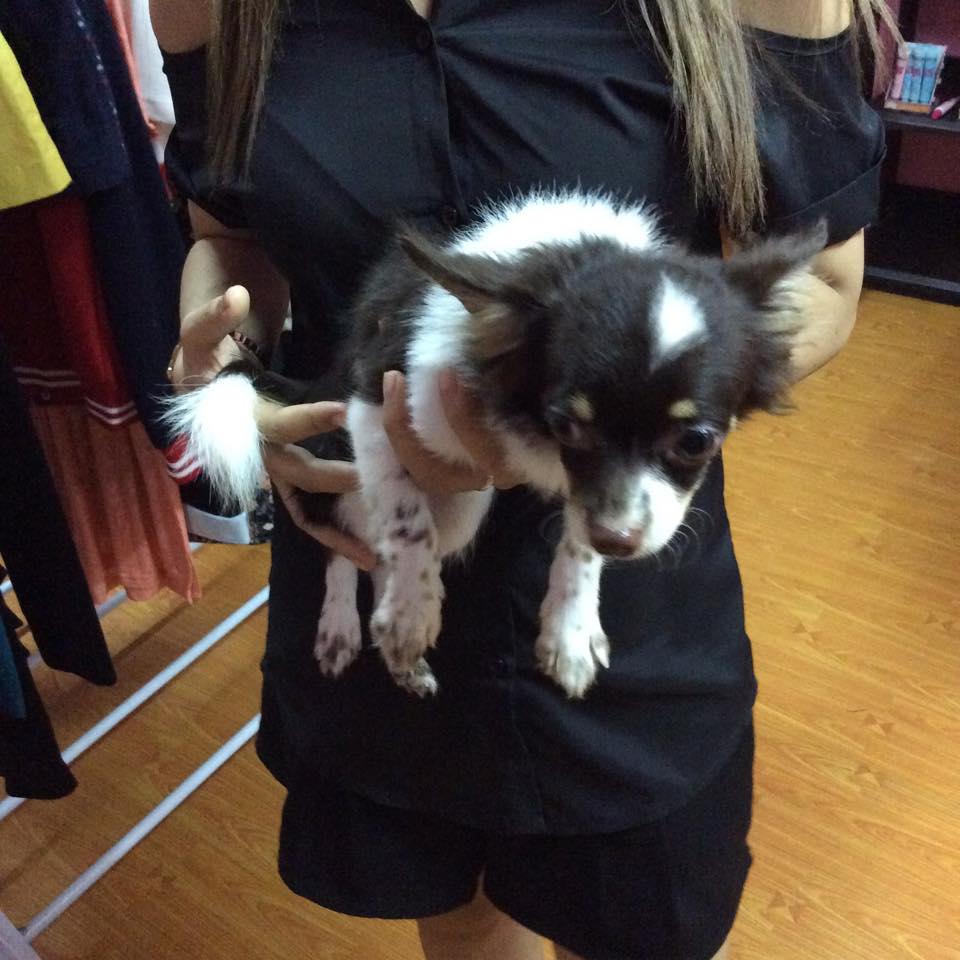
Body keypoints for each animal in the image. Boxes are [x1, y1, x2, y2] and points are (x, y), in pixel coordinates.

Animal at [166, 191, 825, 698]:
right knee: (345, 547)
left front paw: (570, 628)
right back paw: (349, 626)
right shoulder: (375, 405)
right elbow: (406, 523)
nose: (620, 540)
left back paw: (402, 661)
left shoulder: (584, 495)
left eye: (695, 440)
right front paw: (411, 612)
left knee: (373, 553)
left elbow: (577, 540)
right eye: (567, 425)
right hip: (378, 477)